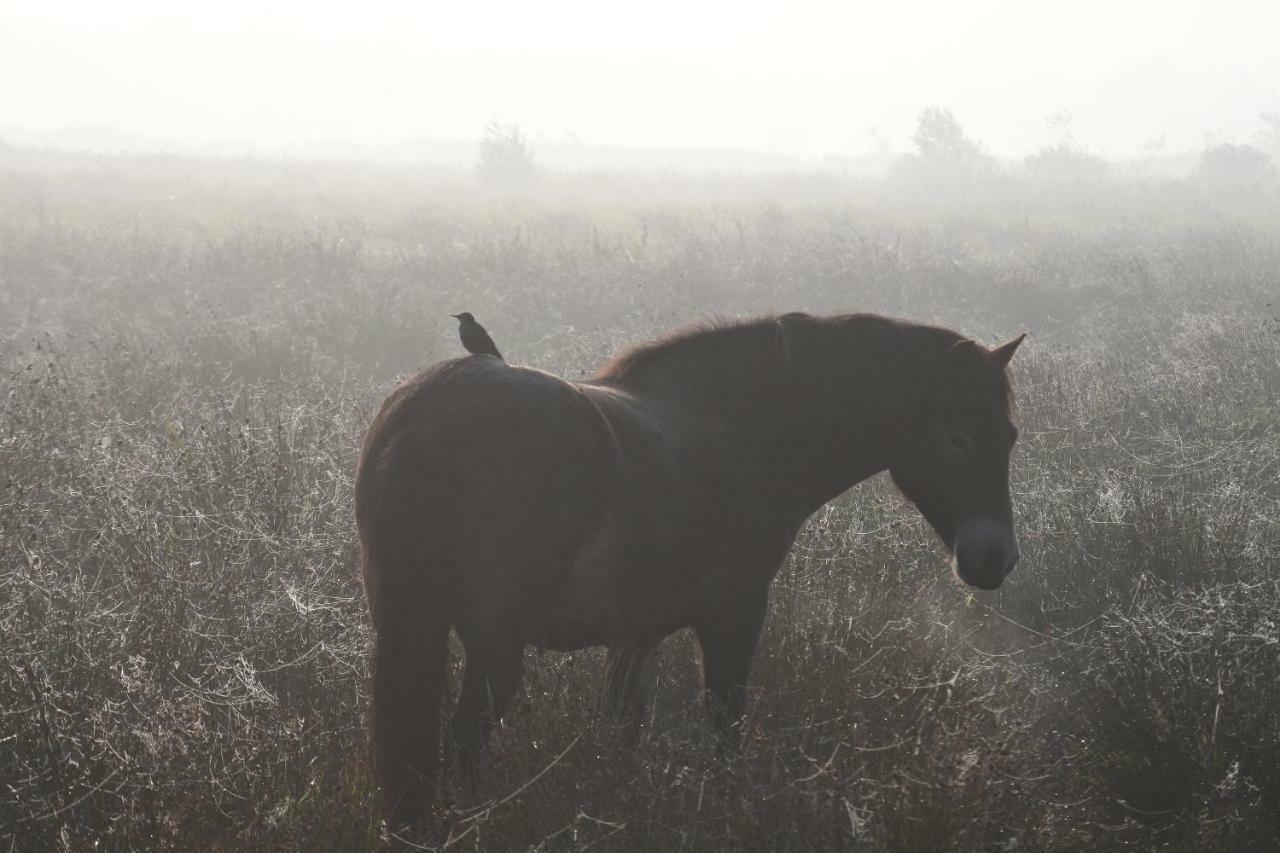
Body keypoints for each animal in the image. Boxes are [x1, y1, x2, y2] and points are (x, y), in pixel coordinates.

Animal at [353, 308, 1029, 819]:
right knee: (465, 745)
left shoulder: (634, 637)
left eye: (1010, 436)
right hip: (495, 643)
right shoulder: (734, 614)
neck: (737, 428)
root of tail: (434, 407)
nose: (994, 558)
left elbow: (623, 731)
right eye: (956, 438)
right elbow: (726, 724)